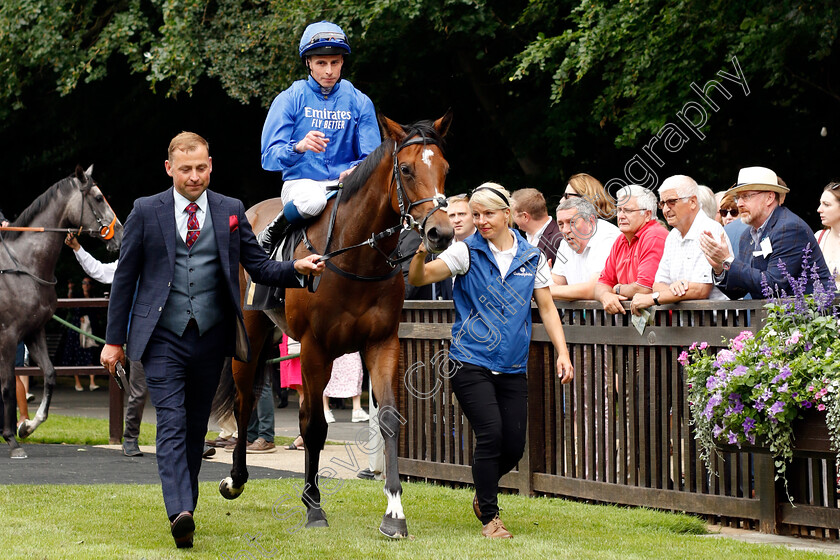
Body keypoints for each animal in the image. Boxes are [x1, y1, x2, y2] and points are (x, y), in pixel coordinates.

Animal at [0, 166, 122, 456]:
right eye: (99, 197)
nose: (121, 234)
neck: (24, 265)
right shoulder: (8, 336)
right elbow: (8, 384)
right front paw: (11, 440)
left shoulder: (34, 332)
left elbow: (50, 374)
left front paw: (26, 427)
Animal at [217, 112, 452, 540]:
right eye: (406, 169)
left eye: (444, 167)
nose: (440, 232)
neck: (356, 257)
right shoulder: (316, 349)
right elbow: (313, 427)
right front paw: (314, 508)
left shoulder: (382, 344)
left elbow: (389, 419)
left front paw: (394, 512)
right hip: (252, 338)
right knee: (243, 402)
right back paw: (236, 479)